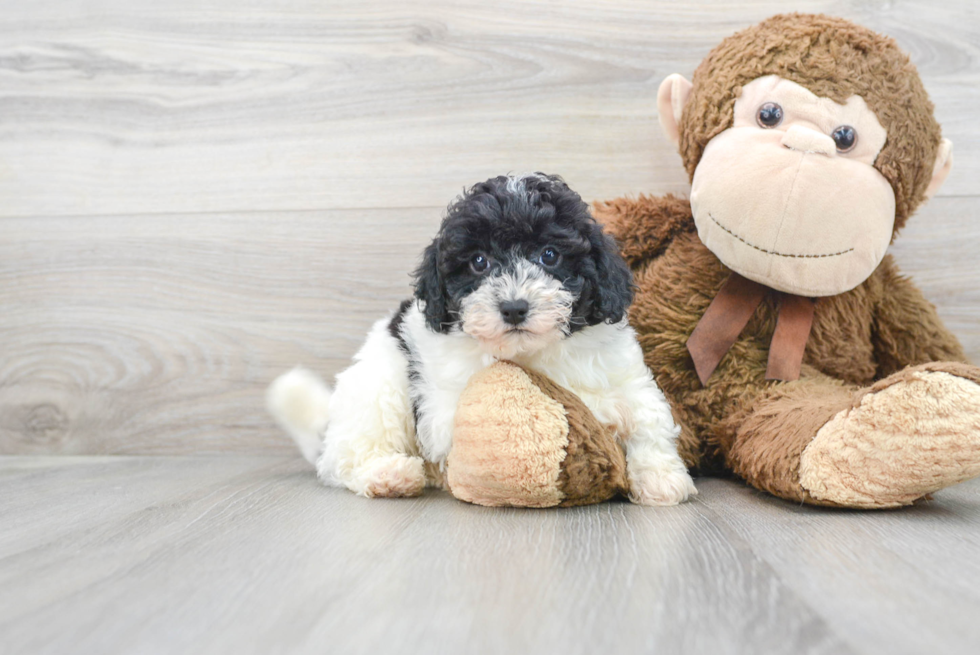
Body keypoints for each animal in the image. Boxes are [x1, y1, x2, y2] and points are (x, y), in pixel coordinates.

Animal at [268, 174, 696, 508]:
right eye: (478, 262)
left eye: (550, 255)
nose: (514, 308)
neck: (532, 353)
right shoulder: (444, 404)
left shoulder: (625, 371)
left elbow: (647, 414)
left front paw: (661, 478)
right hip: (379, 390)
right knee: (345, 458)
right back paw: (389, 474)